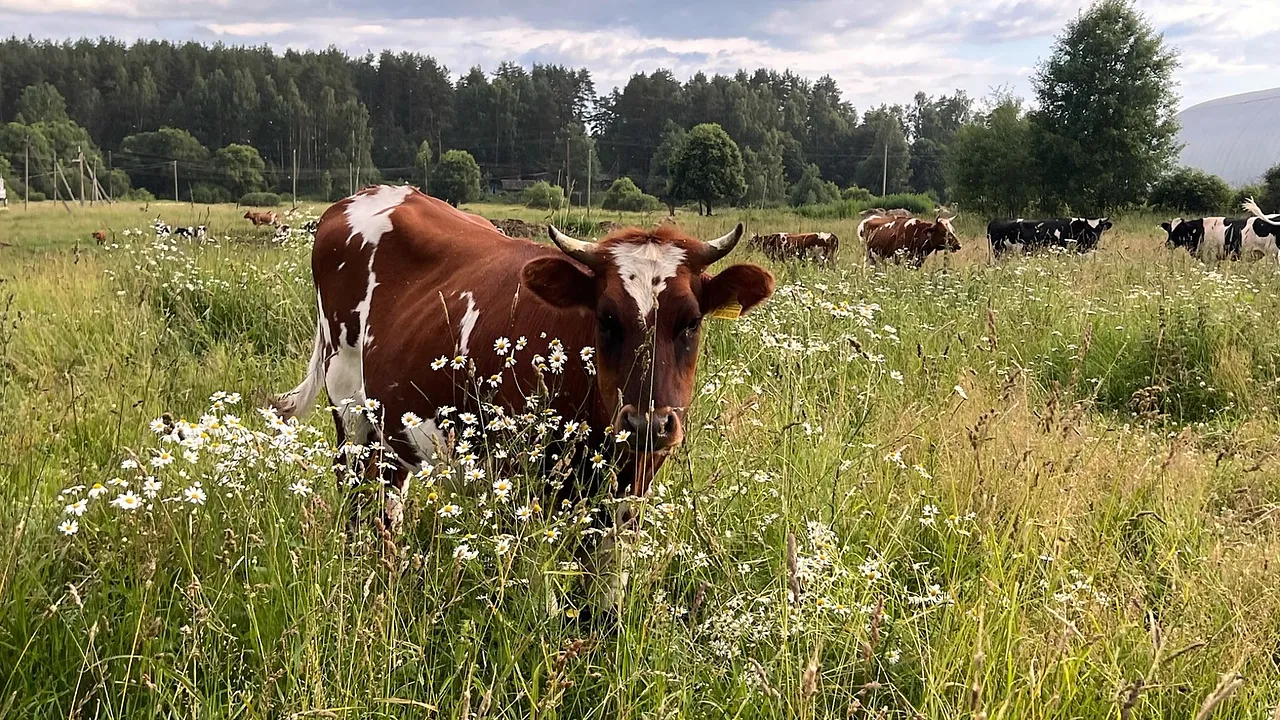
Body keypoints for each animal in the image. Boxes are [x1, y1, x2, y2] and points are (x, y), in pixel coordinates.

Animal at [272, 185, 774, 544]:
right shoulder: (518, 482)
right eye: (606, 319)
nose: (646, 423)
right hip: (349, 411)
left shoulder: (630, 488)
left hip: (392, 423)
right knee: (355, 495)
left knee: (388, 499)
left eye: (691, 321)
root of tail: (365, 194)